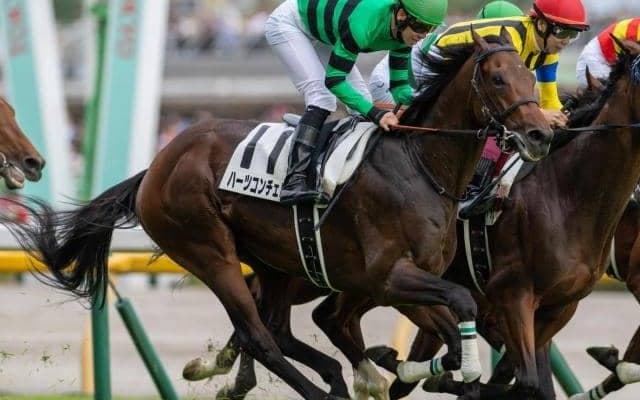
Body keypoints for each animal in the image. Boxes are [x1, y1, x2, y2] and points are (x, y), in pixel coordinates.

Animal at [7, 27, 552, 400]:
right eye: (498, 79)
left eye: (531, 75)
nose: (541, 134)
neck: (420, 164)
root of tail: (157, 164)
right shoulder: (387, 276)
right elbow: (458, 309)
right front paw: (411, 370)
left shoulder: (405, 280)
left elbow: (451, 328)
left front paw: (406, 369)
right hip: (208, 249)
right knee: (259, 334)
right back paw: (318, 388)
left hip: (275, 262)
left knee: (275, 327)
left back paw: (334, 377)